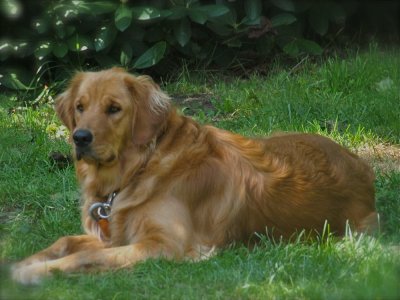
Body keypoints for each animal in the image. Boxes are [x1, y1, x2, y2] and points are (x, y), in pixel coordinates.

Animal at [10, 67, 376, 284]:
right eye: (80, 107)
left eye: (114, 109)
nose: (80, 138)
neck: (139, 169)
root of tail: (363, 167)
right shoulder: (115, 235)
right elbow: (65, 241)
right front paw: (23, 262)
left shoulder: (166, 244)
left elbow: (86, 255)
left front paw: (35, 272)